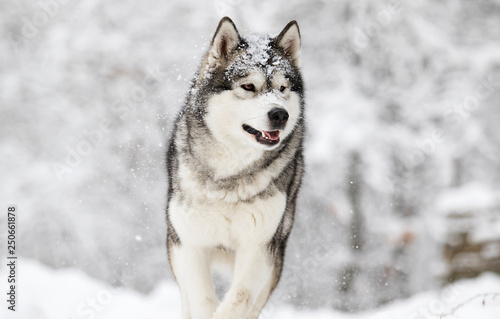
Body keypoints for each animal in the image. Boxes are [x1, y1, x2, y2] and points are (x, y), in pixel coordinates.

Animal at [167, 17, 304, 319]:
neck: (230, 175)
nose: (280, 114)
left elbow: (239, 298)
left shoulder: (259, 247)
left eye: (283, 88)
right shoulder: (187, 244)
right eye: (249, 87)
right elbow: (203, 300)